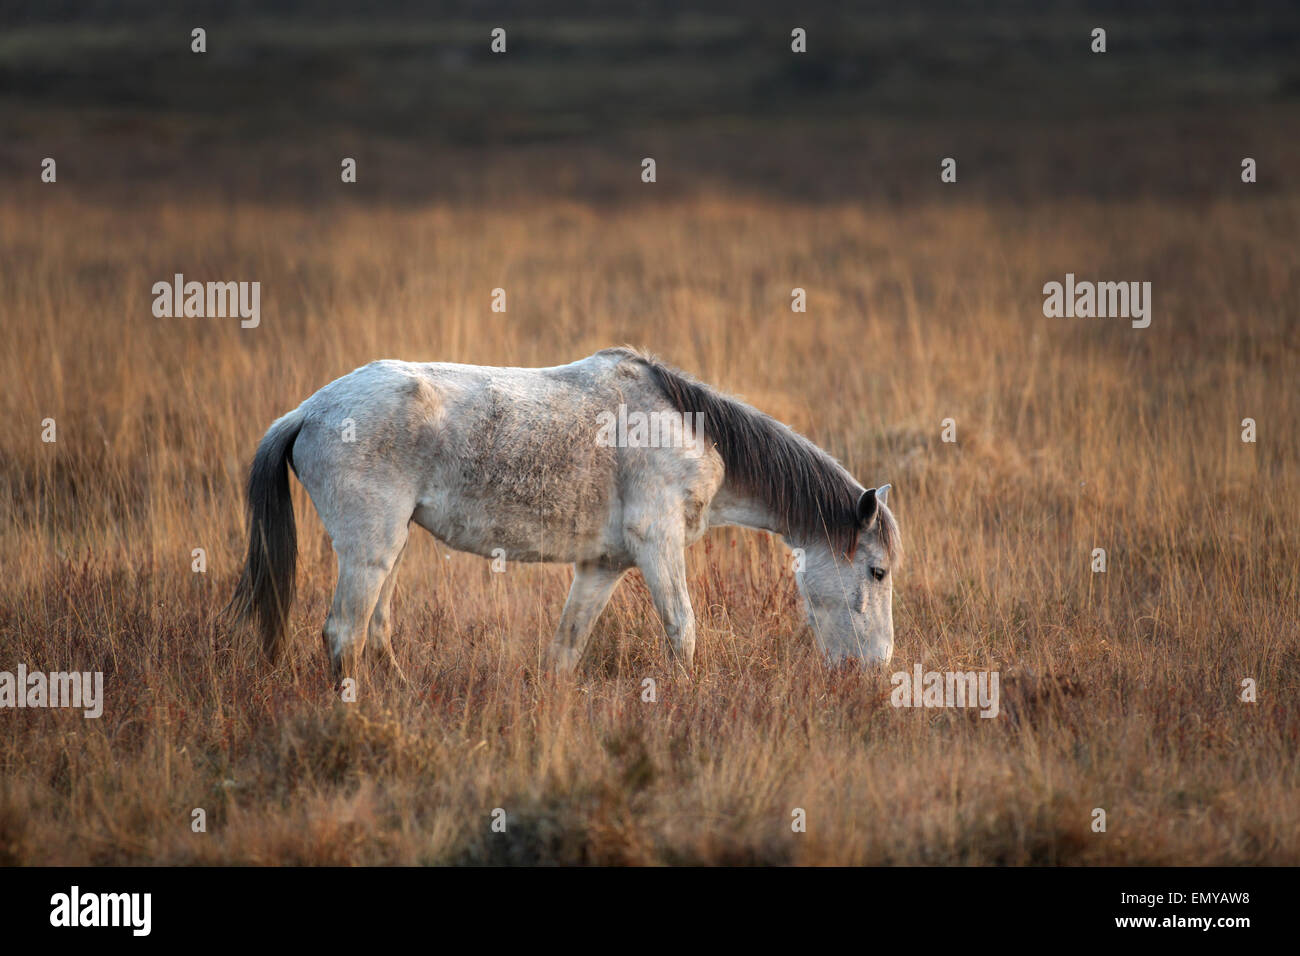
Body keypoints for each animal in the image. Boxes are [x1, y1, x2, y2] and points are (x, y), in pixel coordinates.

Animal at [228, 348, 899, 681]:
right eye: (878, 572)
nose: (875, 671)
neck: (692, 432)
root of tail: (308, 411)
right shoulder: (657, 545)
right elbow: (683, 631)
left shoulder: (603, 566)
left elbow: (565, 649)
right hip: (369, 548)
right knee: (344, 633)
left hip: (391, 547)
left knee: (375, 631)